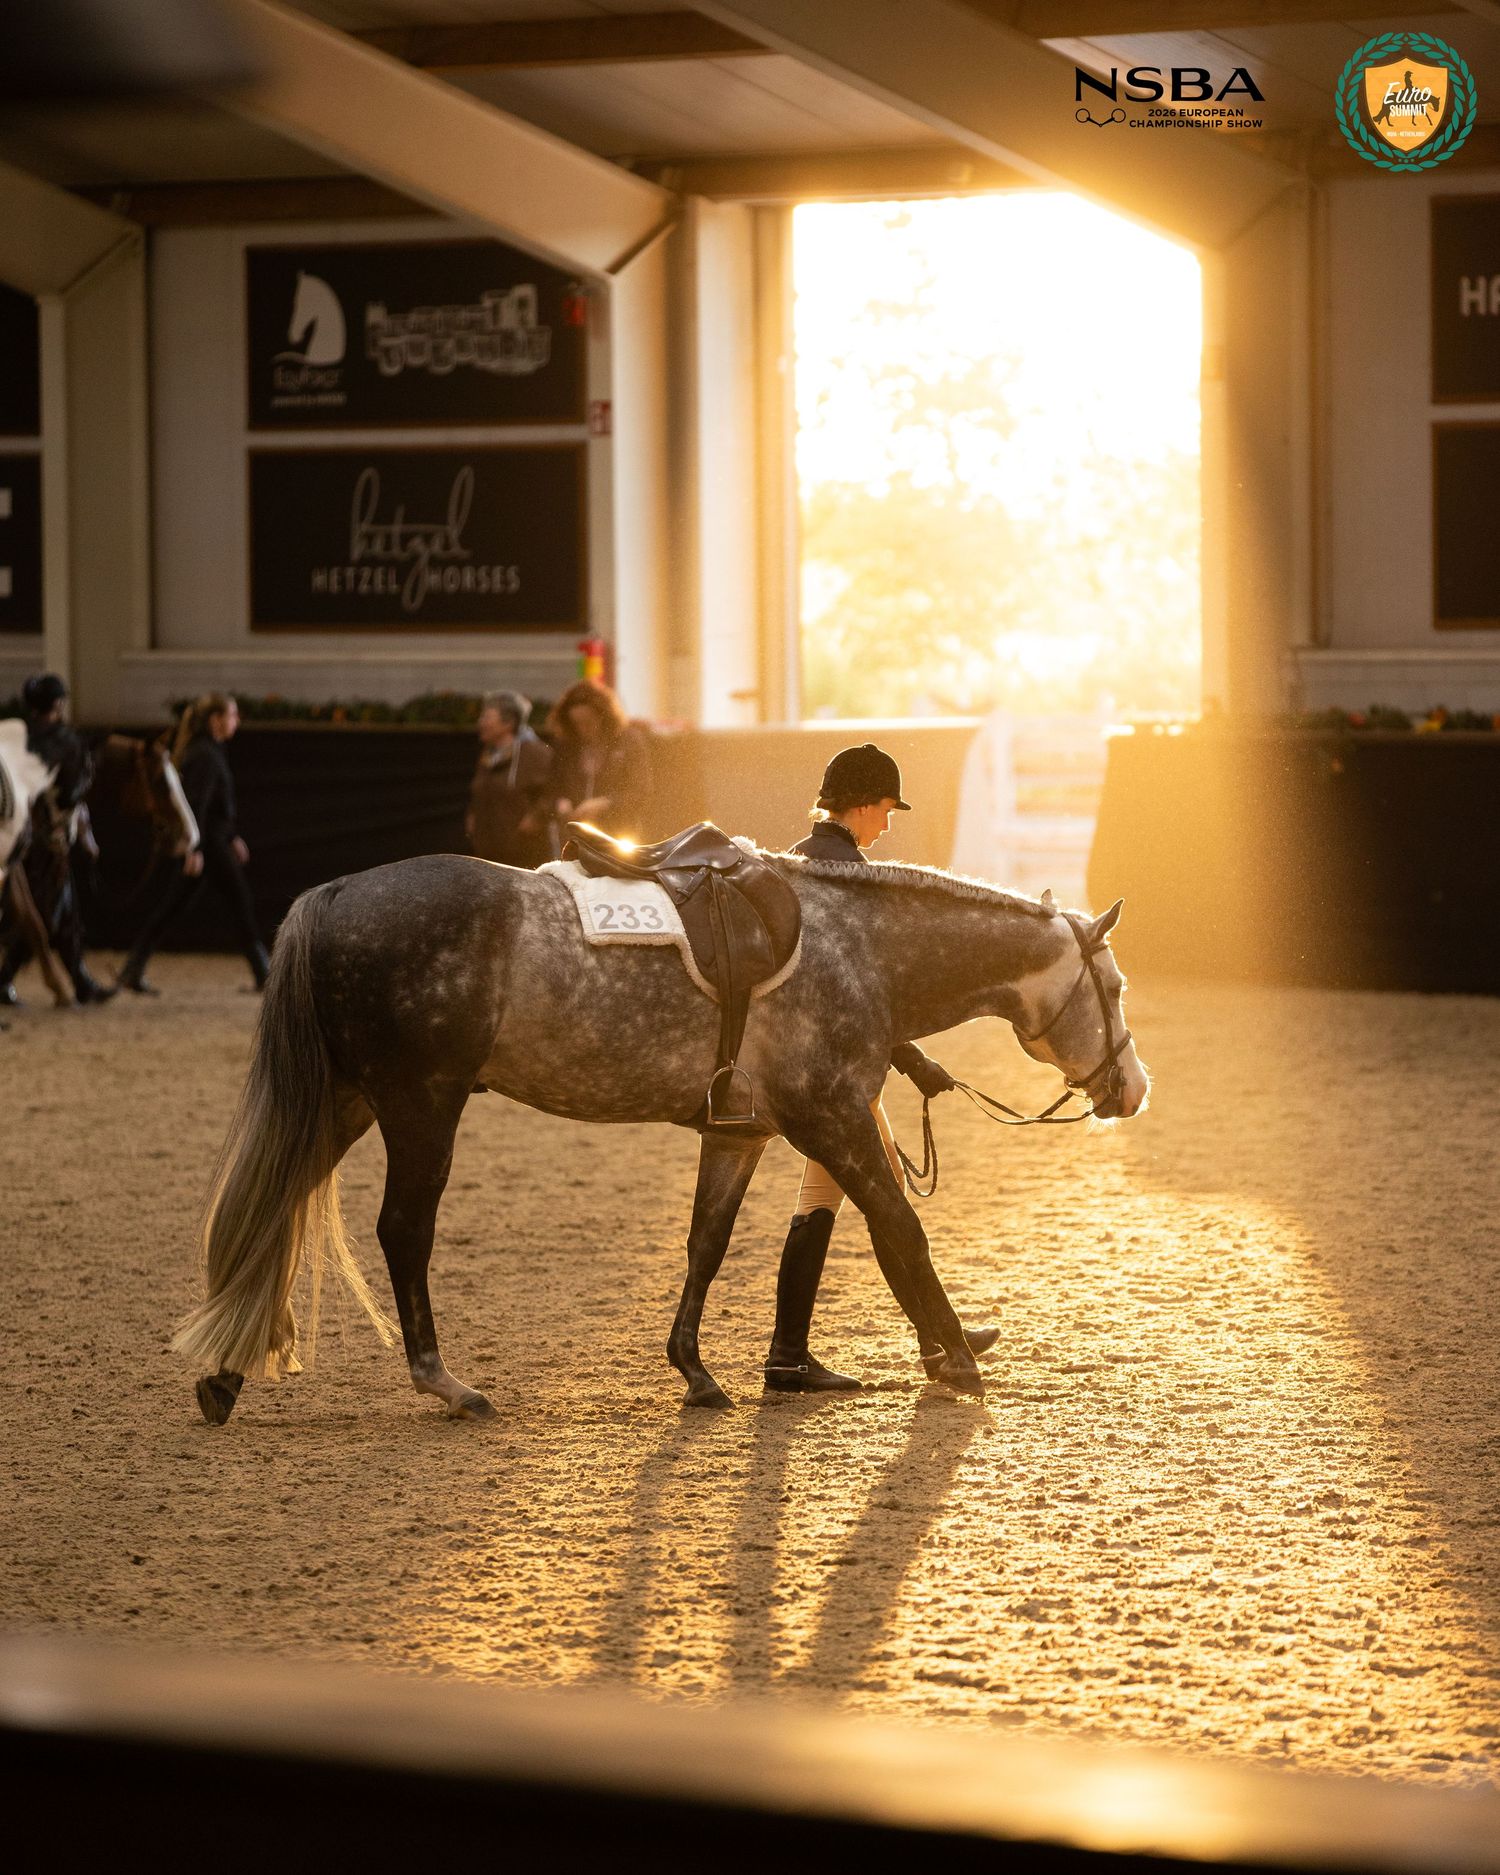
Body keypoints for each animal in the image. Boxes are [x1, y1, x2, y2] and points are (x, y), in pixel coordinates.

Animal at [174, 846, 1149, 1427]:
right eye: (1115, 985)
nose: (1133, 1089)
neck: (860, 946)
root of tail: (336, 891)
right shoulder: (832, 1117)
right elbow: (898, 1229)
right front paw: (954, 1358)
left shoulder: (743, 1132)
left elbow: (706, 1244)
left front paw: (697, 1371)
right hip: (420, 1103)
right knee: (403, 1231)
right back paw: (443, 1380)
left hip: (346, 1101)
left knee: (275, 1205)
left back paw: (225, 1372)